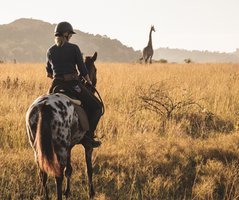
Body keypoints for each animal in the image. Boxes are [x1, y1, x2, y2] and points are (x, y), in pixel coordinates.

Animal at [27, 52, 99, 199]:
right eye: (96, 70)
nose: (92, 84)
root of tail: (44, 105)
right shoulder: (87, 145)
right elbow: (89, 168)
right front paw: (91, 192)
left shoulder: (69, 146)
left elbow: (69, 170)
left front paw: (68, 191)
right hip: (60, 147)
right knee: (57, 174)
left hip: (38, 148)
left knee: (43, 174)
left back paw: (47, 196)